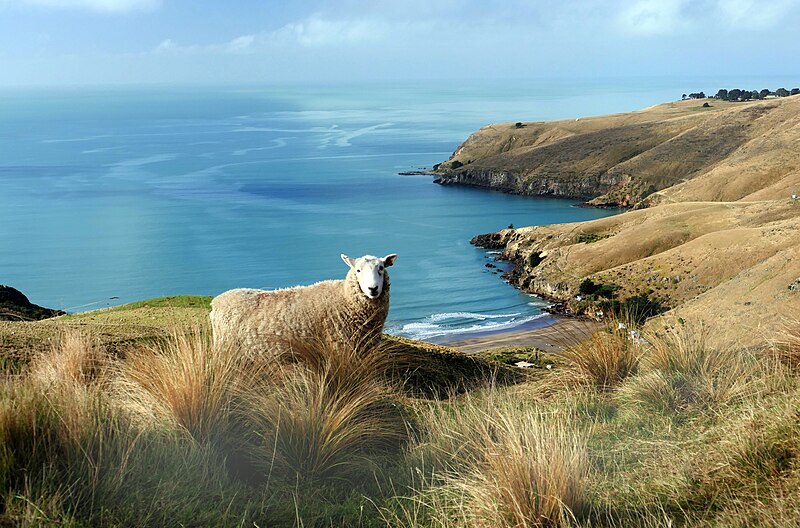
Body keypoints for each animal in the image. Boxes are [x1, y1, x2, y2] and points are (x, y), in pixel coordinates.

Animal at [209, 253, 396, 358]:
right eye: (358, 270)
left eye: (381, 268)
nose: (373, 289)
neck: (344, 299)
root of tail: (216, 302)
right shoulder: (340, 347)